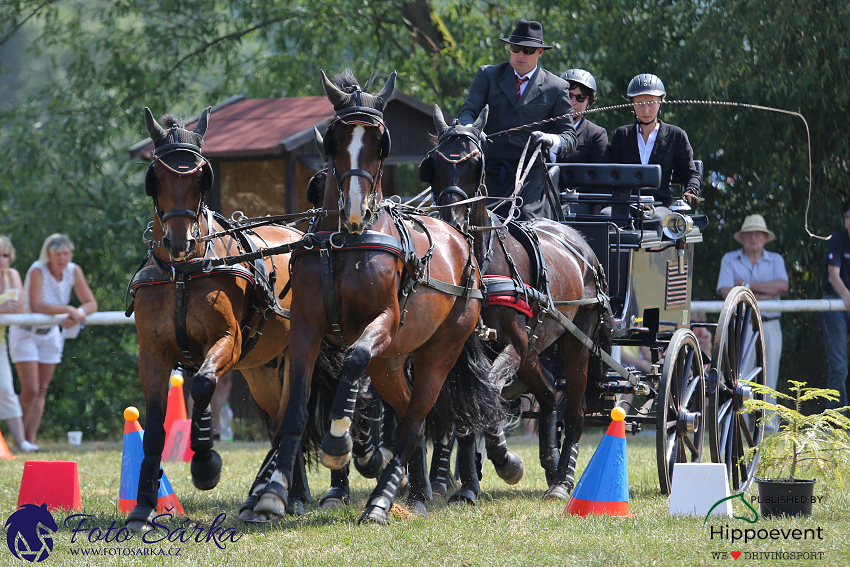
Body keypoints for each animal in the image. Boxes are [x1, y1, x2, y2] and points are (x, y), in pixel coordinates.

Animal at [127, 107, 310, 532]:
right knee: (279, 418)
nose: (180, 242)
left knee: (292, 418)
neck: (182, 273)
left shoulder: (228, 340)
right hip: (262, 369)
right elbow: (154, 428)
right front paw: (143, 508)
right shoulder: (152, 355)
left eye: (200, 178)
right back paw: (284, 496)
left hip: (294, 354)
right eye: (156, 178)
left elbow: (204, 384)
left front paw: (205, 463)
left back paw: (272, 497)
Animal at [252, 71, 504, 528]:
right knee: (409, 415)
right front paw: (274, 494)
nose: (354, 209)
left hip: (439, 353)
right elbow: (295, 408)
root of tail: (462, 243)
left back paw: (382, 502)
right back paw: (416, 494)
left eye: (380, 143)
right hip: (390, 362)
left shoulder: (382, 322)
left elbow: (353, 361)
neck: (344, 242)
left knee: (416, 417)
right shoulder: (306, 329)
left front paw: (339, 444)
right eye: (335, 140)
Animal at [420, 106, 608, 502]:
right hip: (537, 350)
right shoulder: (463, 350)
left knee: (575, 409)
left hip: (575, 341)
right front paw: (467, 484)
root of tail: (579, 241)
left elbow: (490, 389)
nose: (451, 220)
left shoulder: (516, 344)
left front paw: (506, 460)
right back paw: (550, 462)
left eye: (476, 163)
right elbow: (468, 410)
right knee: (550, 394)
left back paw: (563, 480)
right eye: (433, 163)